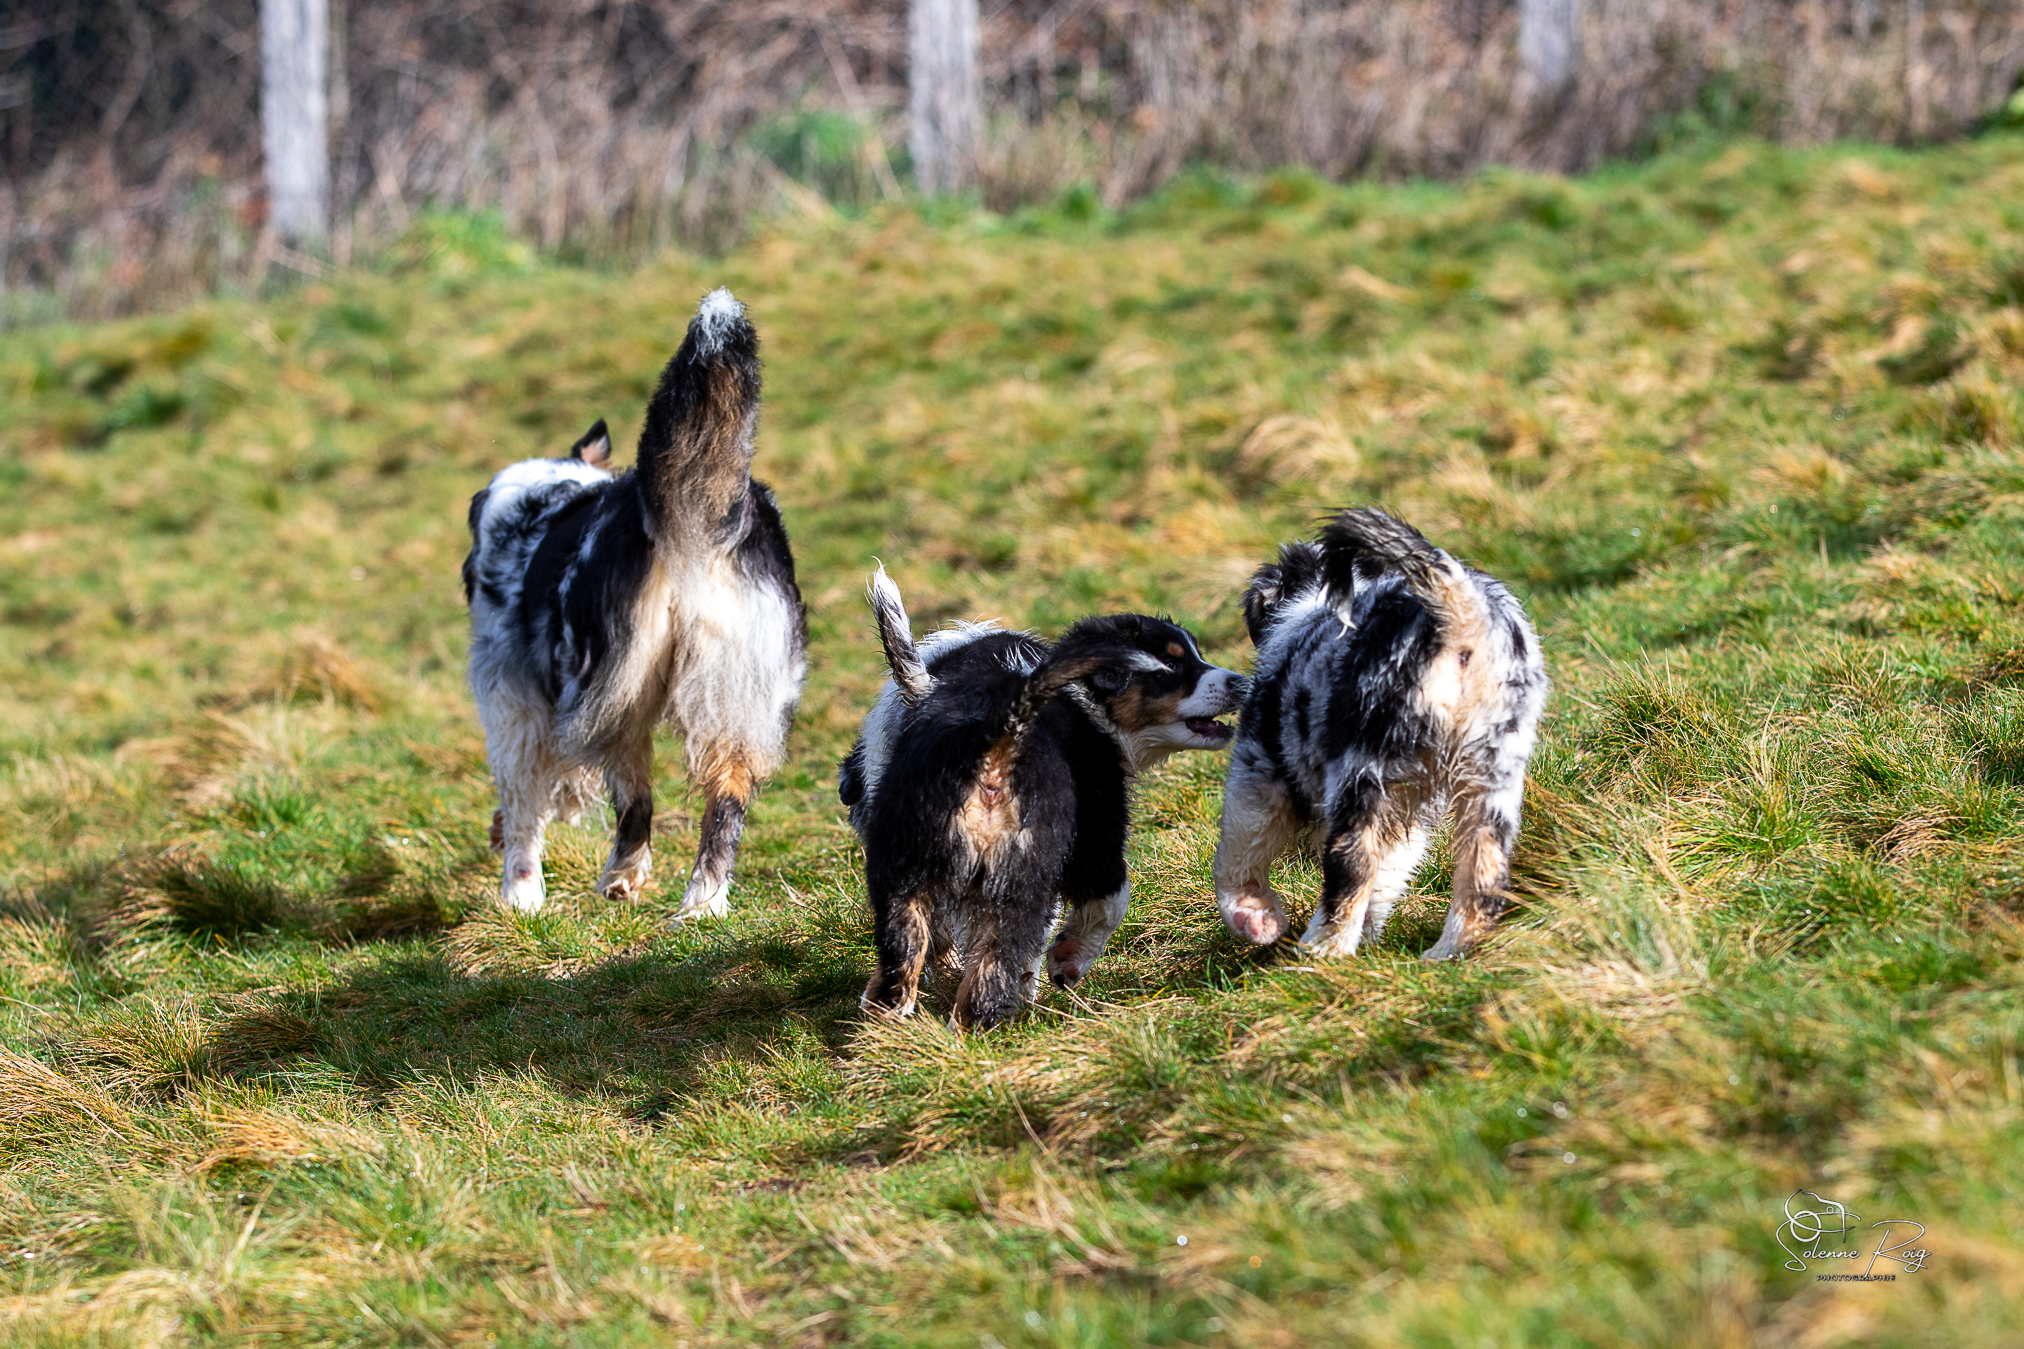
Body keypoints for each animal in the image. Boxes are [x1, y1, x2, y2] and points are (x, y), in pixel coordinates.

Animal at [461, 289, 807, 917]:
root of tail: (698, 523)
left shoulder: (514, 699)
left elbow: (526, 804)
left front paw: (520, 893)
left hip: (615, 693)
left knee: (635, 801)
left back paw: (618, 875)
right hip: (736, 698)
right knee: (725, 801)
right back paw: (701, 903)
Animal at [839, 567, 1246, 1029]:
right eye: (1172, 663)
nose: (1241, 682)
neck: (1083, 697)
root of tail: (993, 736)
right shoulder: (1096, 824)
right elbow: (1111, 898)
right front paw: (1065, 962)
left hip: (902, 865)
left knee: (904, 953)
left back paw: (887, 1025)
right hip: (1018, 874)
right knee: (992, 962)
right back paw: (978, 1028)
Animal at [1213, 508, 1547, 960]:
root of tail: (1459, 611)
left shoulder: (1260, 768)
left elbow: (1239, 851)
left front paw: (1253, 917)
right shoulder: (1409, 808)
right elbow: (1389, 875)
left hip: (1362, 770)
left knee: (1350, 865)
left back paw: (1320, 953)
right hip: (1492, 776)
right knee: (1482, 874)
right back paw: (1446, 954)